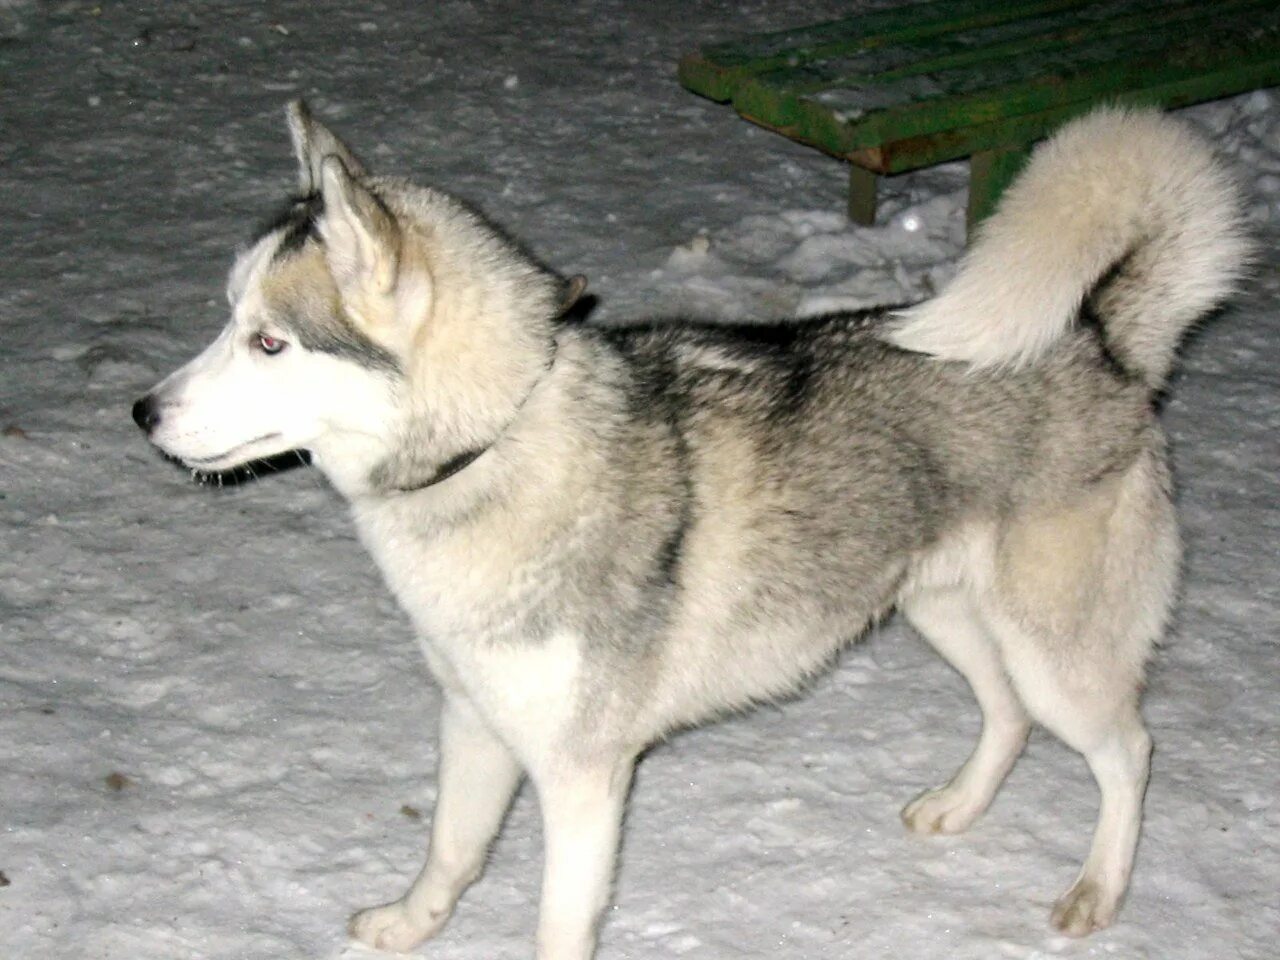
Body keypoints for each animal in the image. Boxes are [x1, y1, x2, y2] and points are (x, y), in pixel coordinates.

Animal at [135, 101, 1244, 957]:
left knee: (1127, 751)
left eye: (269, 342)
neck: (494, 444)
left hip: (1052, 651)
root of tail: (1102, 338)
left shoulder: (583, 776)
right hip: (940, 611)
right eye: (227, 316)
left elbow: (556, 924)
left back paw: (1098, 889)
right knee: (1007, 717)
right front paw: (412, 924)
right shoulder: (474, 719)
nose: (141, 412)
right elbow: (451, 847)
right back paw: (957, 807)